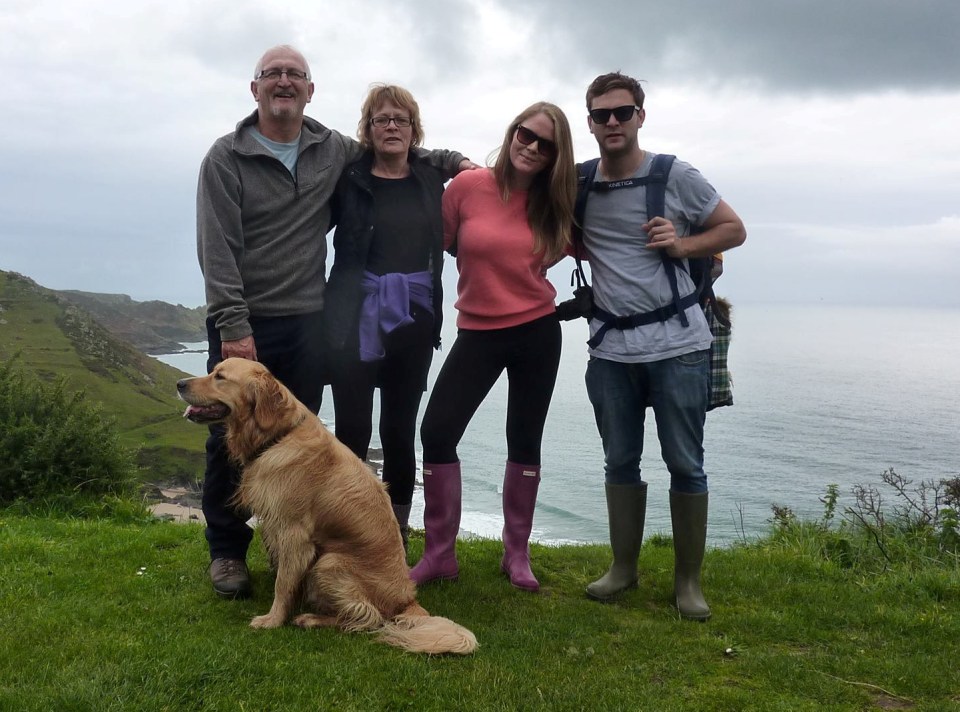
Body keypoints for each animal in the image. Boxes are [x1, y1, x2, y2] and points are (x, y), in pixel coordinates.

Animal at [176, 356, 476, 656]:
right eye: (214, 371)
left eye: (220, 377)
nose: (180, 384)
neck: (279, 435)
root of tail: (407, 601)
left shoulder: (294, 533)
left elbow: (283, 583)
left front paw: (272, 619)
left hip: (329, 562)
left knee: (367, 617)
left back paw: (312, 618)